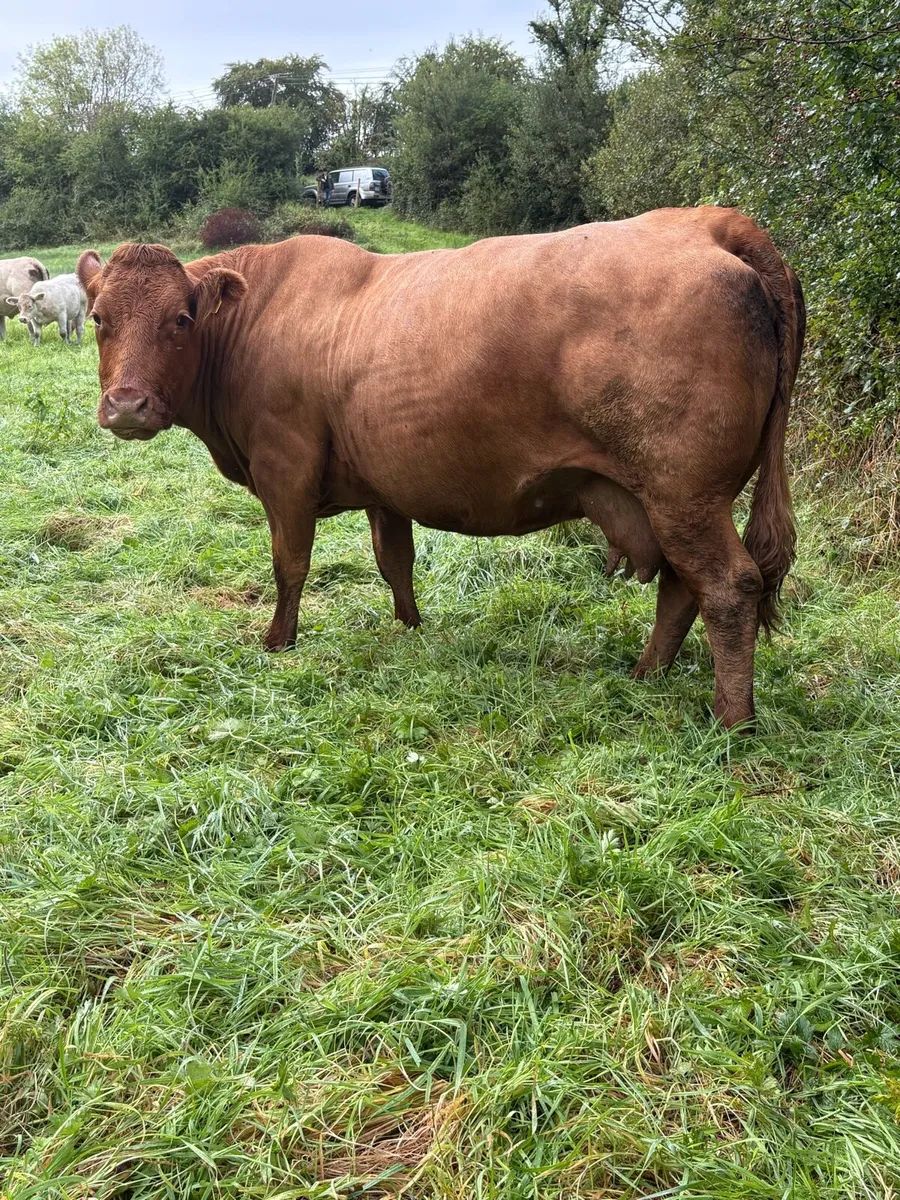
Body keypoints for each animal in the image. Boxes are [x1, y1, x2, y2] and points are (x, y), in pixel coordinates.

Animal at [78, 206, 805, 729]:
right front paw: (410, 628)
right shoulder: (383, 485)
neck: (256, 319)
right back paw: (647, 673)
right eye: (99, 318)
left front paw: (278, 642)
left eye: (180, 318)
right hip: (669, 500)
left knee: (728, 587)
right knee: (683, 588)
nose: (127, 404)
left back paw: (731, 720)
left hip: (685, 493)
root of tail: (709, 221)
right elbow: (393, 560)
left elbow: (290, 565)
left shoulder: (284, 470)